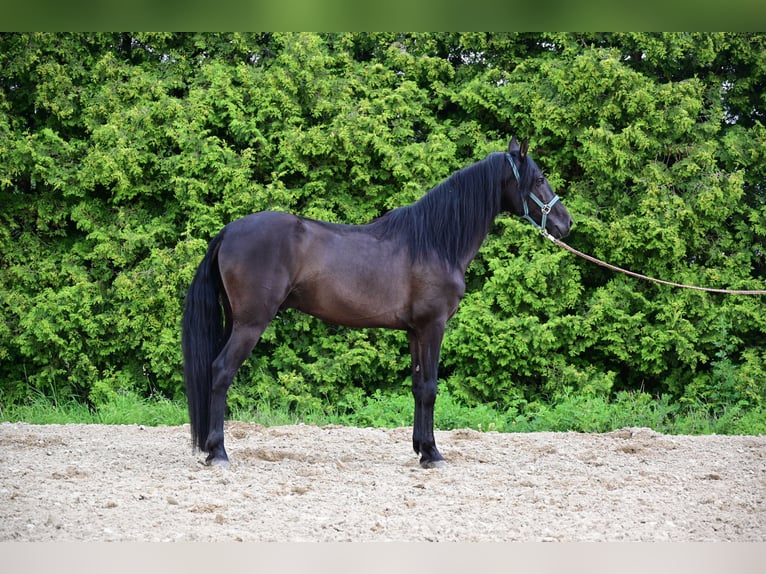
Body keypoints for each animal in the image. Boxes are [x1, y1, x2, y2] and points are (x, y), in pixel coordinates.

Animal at [182, 137, 572, 468]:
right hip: (250, 324)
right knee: (221, 372)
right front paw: (433, 454)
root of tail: (229, 231)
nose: (566, 223)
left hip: (234, 321)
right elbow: (431, 388)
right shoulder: (433, 326)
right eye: (539, 179)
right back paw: (218, 452)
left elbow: (418, 387)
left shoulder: (415, 331)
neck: (435, 242)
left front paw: (421, 449)